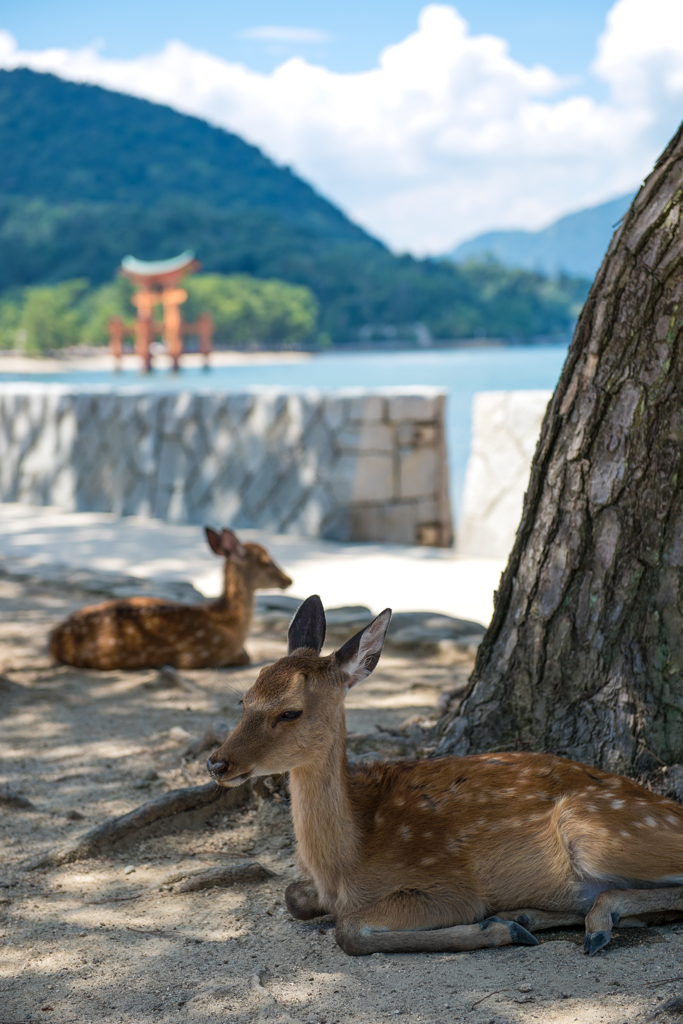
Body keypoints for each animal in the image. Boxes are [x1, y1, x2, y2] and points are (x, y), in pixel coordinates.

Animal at [49, 527, 292, 670]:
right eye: (267, 561)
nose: (289, 580)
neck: (233, 623)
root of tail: (54, 639)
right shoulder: (197, 656)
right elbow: (245, 657)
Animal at [207, 595, 683, 956]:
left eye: (290, 711)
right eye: (244, 699)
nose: (217, 763)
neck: (344, 864)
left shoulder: (449, 886)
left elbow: (349, 930)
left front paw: (495, 930)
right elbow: (293, 897)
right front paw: (510, 925)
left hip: (595, 829)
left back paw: (590, 922)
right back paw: (531, 916)